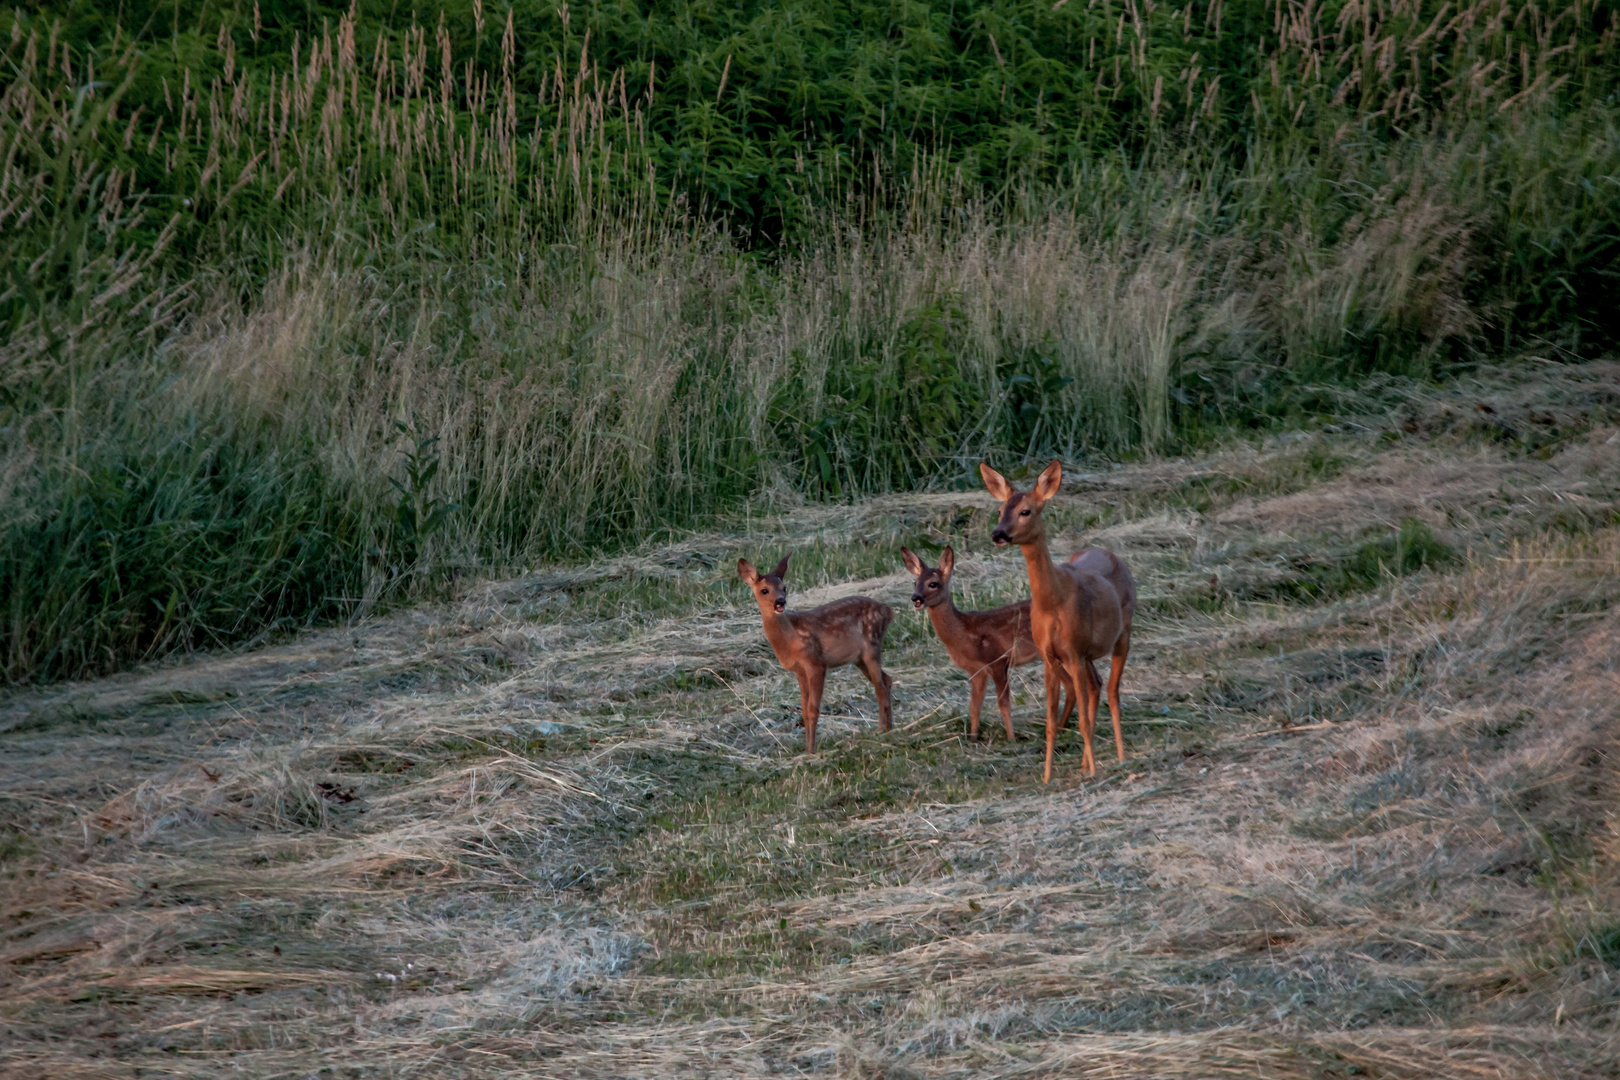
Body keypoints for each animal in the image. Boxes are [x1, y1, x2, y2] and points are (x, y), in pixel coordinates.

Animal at [738, 553, 894, 757]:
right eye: (764, 590)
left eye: (784, 588)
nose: (780, 602)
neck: (790, 638)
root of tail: (888, 610)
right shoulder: (799, 670)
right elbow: (804, 710)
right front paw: (806, 750)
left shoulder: (816, 662)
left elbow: (813, 709)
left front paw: (812, 752)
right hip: (859, 658)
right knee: (887, 680)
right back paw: (890, 728)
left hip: (872, 644)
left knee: (880, 686)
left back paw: (881, 731)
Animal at [894, 550, 1069, 744]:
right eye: (915, 582)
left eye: (933, 583)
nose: (915, 598)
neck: (963, 634)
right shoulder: (976, 670)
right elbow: (974, 705)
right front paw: (973, 738)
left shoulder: (997, 660)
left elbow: (1003, 703)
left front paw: (1011, 739)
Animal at [978, 459, 1134, 780]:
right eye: (999, 510)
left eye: (1026, 511)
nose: (998, 534)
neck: (1053, 603)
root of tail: (1110, 554)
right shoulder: (1051, 655)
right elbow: (1051, 722)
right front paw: (1048, 777)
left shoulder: (1073, 652)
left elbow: (1083, 718)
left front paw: (1093, 771)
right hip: (1087, 653)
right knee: (1096, 686)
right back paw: (1086, 761)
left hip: (1123, 632)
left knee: (1112, 691)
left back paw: (1120, 756)